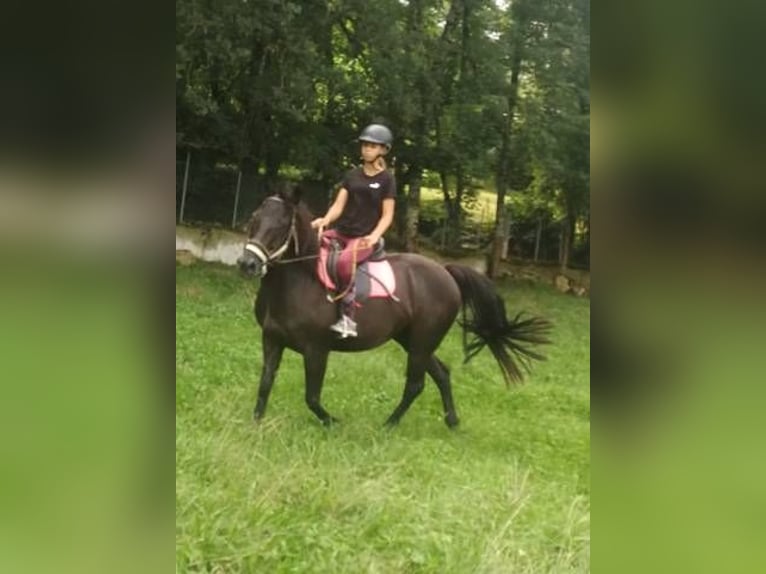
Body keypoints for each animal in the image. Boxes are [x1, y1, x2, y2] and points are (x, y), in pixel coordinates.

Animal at [236, 187, 552, 430]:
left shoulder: (317, 349)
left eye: (281, 226)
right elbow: (265, 383)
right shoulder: (272, 340)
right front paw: (255, 424)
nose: (247, 264)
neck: (300, 280)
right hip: (412, 339)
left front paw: (333, 422)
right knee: (441, 373)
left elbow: (311, 397)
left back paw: (389, 424)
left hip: (422, 341)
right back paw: (451, 421)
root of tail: (447, 273)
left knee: (416, 384)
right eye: (254, 219)